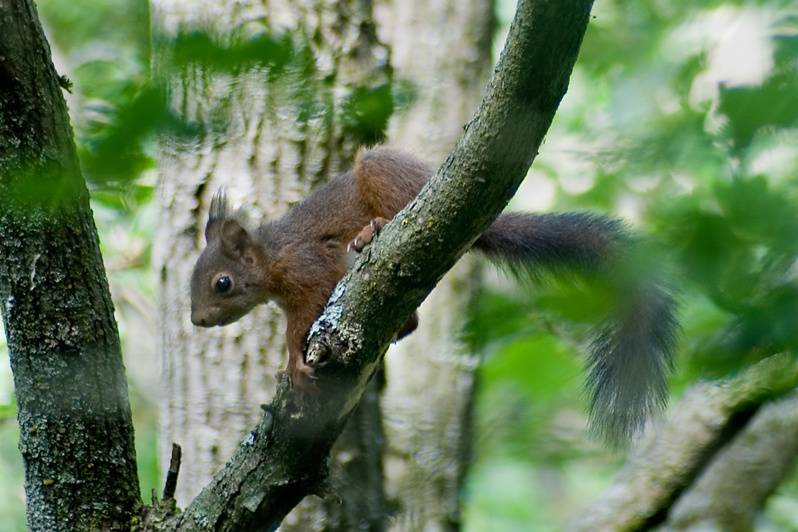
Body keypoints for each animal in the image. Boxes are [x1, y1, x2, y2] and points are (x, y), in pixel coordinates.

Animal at [191, 145, 680, 440]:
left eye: (222, 283)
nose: (197, 320)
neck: (269, 257)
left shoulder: (307, 268)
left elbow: (300, 321)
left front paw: (292, 363)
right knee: (410, 321)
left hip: (383, 173)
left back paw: (374, 230)